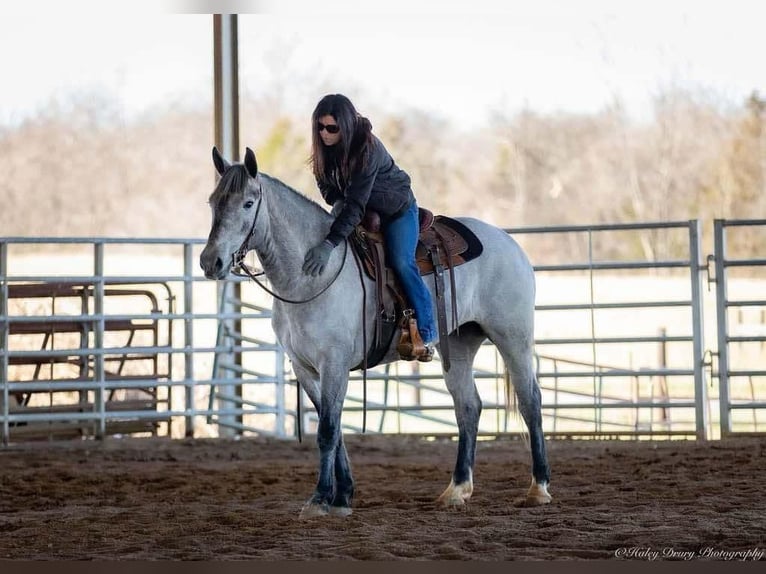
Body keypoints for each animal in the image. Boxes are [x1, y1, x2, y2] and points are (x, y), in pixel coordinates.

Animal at [200, 146, 552, 520]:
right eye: (213, 201)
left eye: (248, 203)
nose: (211, 262)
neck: (310, 277)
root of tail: (508, 241)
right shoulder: (304, 368)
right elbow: (335, 428)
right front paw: (342, 497)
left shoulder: (334, 364)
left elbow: (327, 430)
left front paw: (319, 500)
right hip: (458, 344)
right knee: (468, 407)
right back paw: (456, 490)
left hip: (513, 336)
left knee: (530, 401)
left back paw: (538, 488)